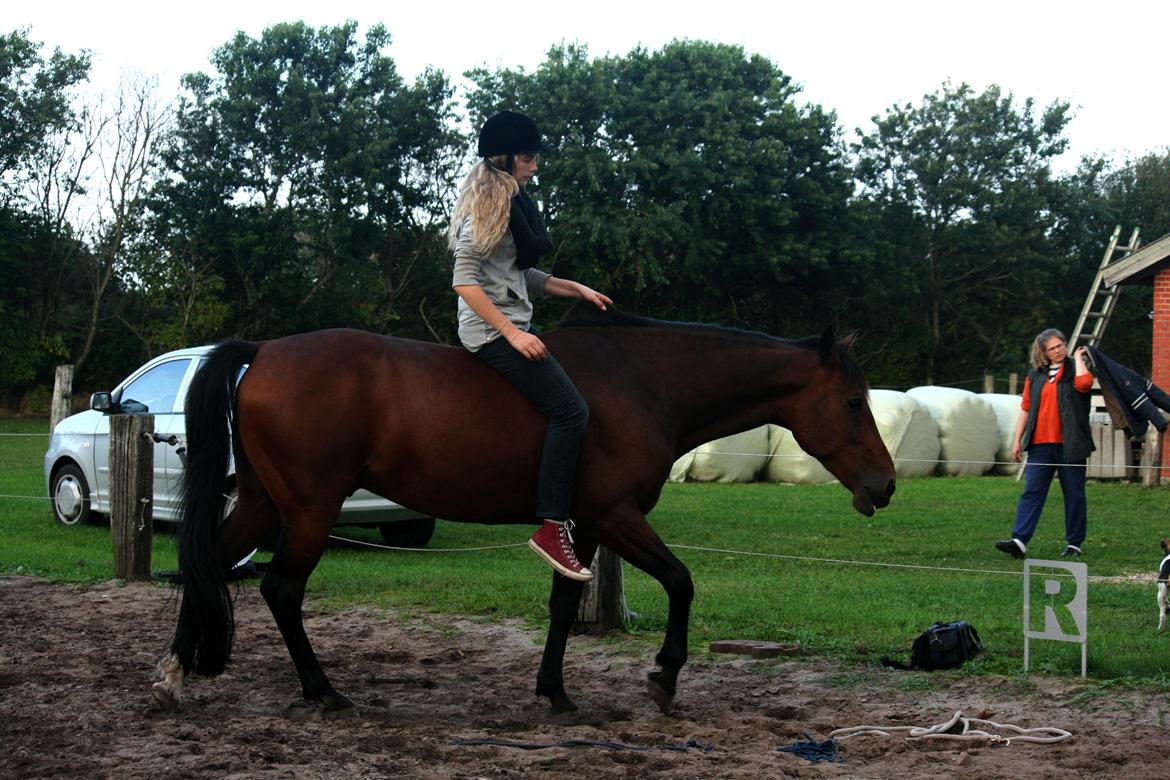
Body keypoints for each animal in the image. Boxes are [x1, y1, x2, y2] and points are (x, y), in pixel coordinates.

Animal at [148, 304, 893, 715]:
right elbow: (682, 582)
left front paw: (555, 692)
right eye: (854, 402)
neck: (643, 382)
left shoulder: (581, 530)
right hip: (308, 509)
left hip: (263, 502)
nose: (885, 485)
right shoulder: (616, 516)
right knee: (280, 589)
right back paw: (321, 690)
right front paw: (664, 677)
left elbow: (563, 608)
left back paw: (173, 678)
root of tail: (264, 351)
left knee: (207, 565)